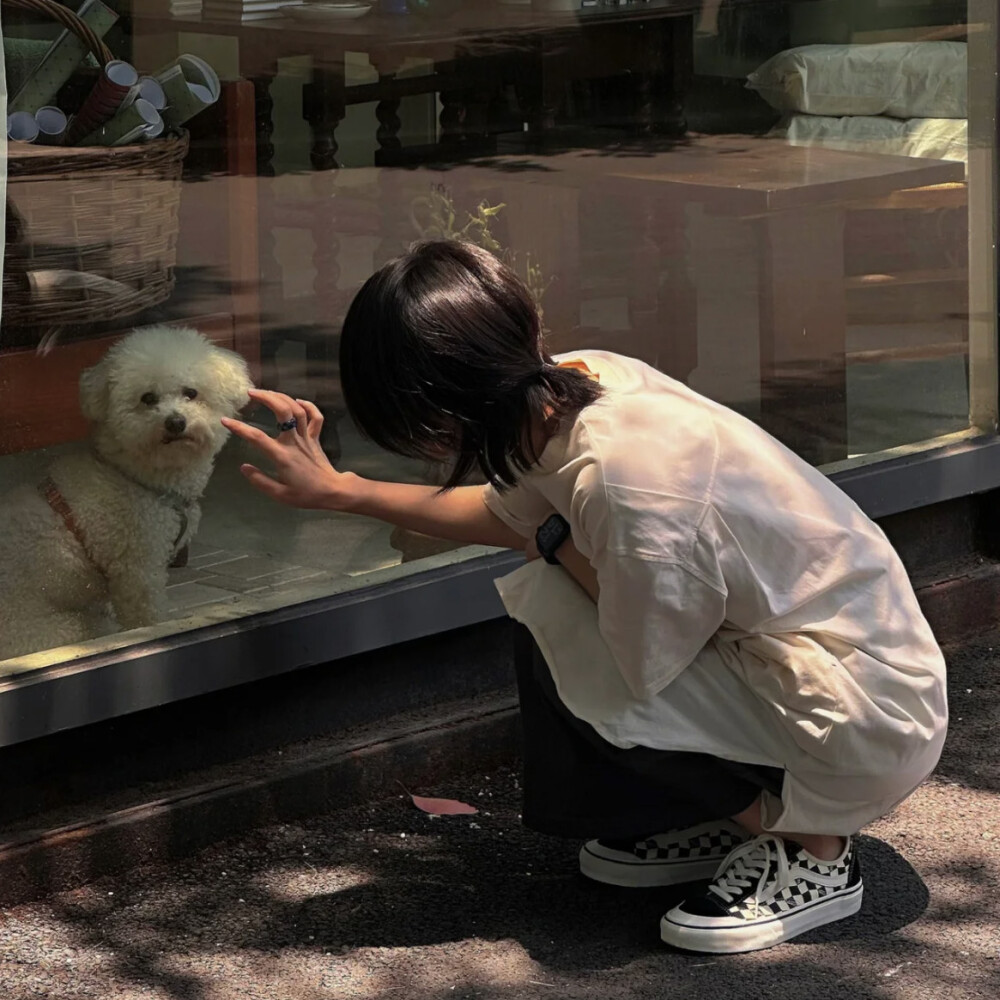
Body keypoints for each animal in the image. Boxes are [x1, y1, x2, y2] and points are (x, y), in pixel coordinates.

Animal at [0, 324, 254, 660]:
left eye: (191, 393)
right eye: (148, 398)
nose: (175, 422)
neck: (133, 474)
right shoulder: (139, 567)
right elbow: (147, 616)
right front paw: (153, 633)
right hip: (60, 629)